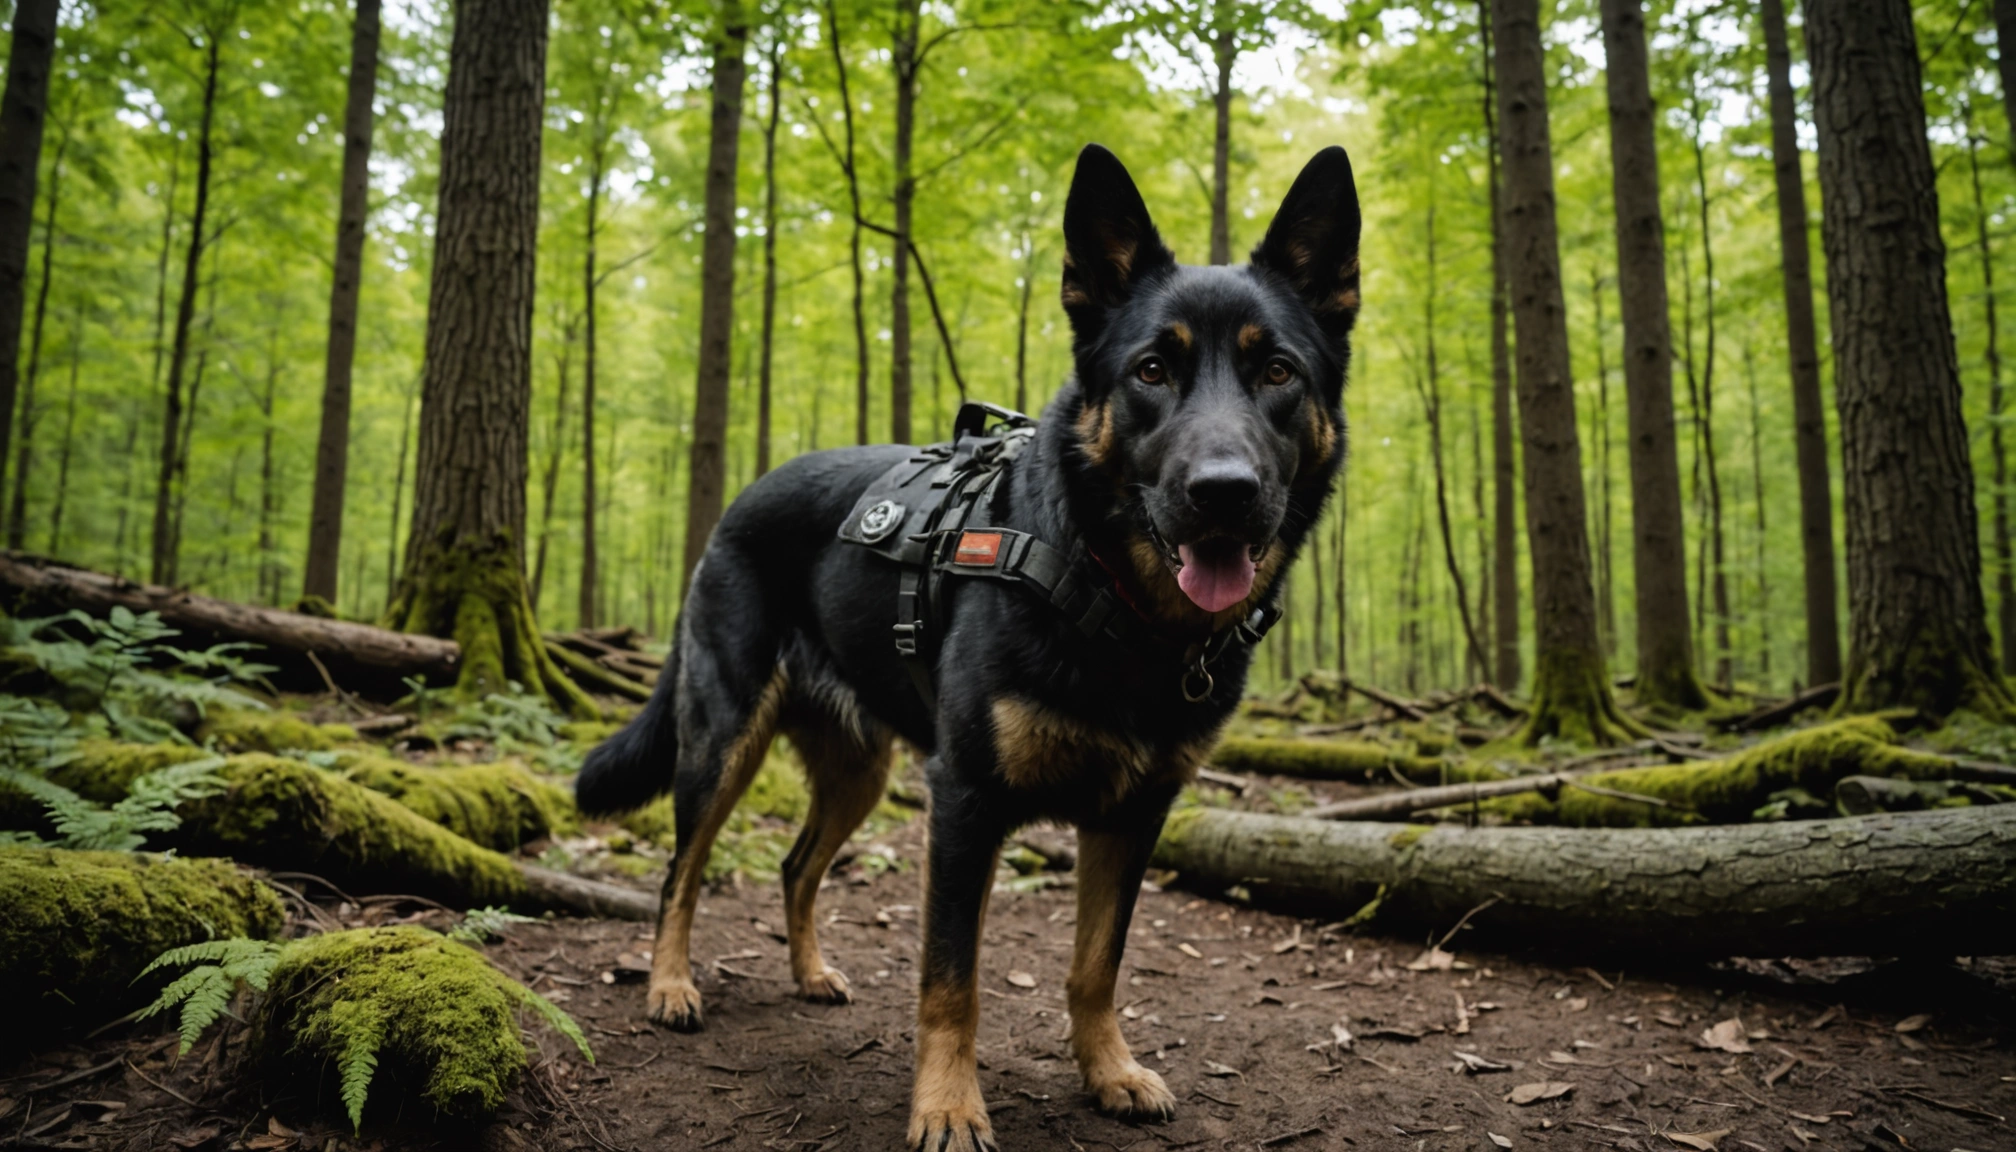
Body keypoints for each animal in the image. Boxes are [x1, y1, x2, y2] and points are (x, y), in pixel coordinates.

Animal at [576, 140, 1362, 1145]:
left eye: (1279, 374)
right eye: (1151, 370)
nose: (1223, 492)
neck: (1111, 598)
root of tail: (736, 507)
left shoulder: (1133, 817)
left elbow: (1096, 965)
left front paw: (1108, 1071)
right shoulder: (965, 802)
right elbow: (952, 982)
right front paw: (948, 1107)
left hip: (860, 772)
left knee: (795, 865)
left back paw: (810, 973)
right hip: (721, 745)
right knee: (683, 870)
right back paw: (671, 985)